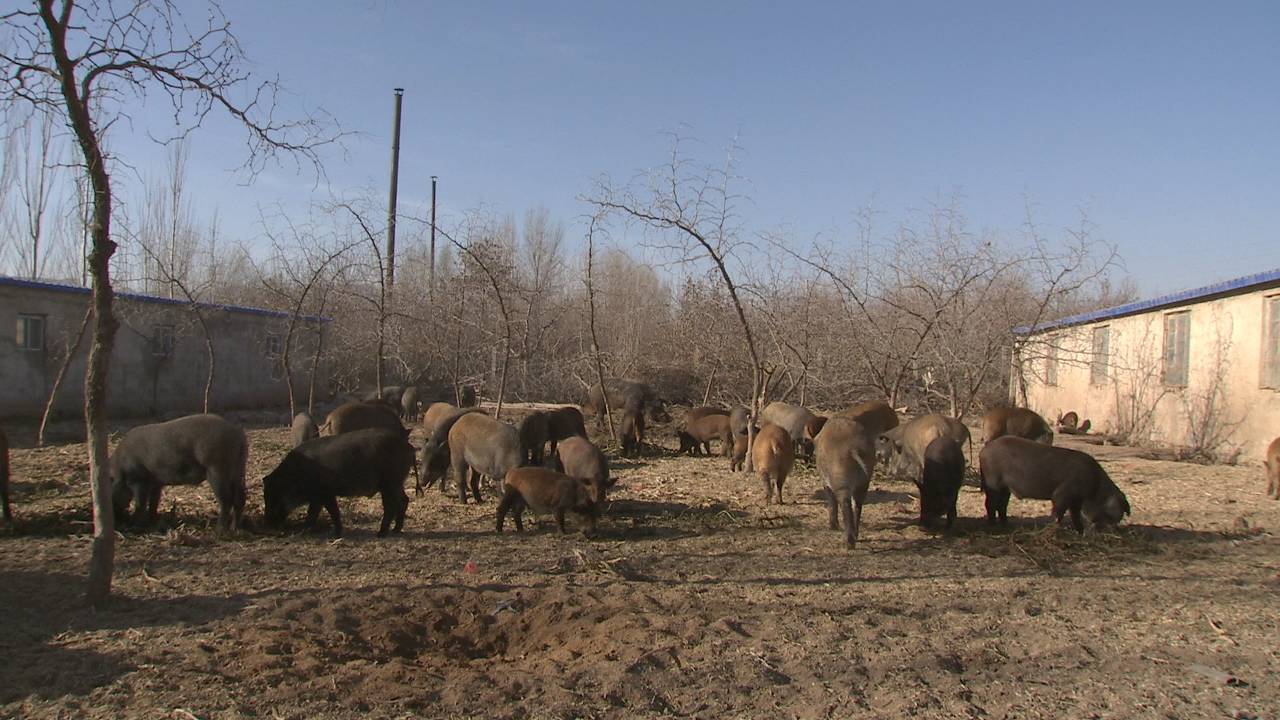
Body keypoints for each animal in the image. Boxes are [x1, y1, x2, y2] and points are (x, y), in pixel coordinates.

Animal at [977, 435, 1131, 530]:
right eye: (1116, 510)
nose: (1115, 529)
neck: (1095, 486)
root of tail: (983, 451)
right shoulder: (1062, 494)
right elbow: (1058, 512)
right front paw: (1056, 528)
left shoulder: (1076, 500)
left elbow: (1075, 515)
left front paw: (1080, 531)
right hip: (993, 482)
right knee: (990, 504)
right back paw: (992, 525)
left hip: (1005, 488)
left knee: (1002, 505)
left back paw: (1006, 524)